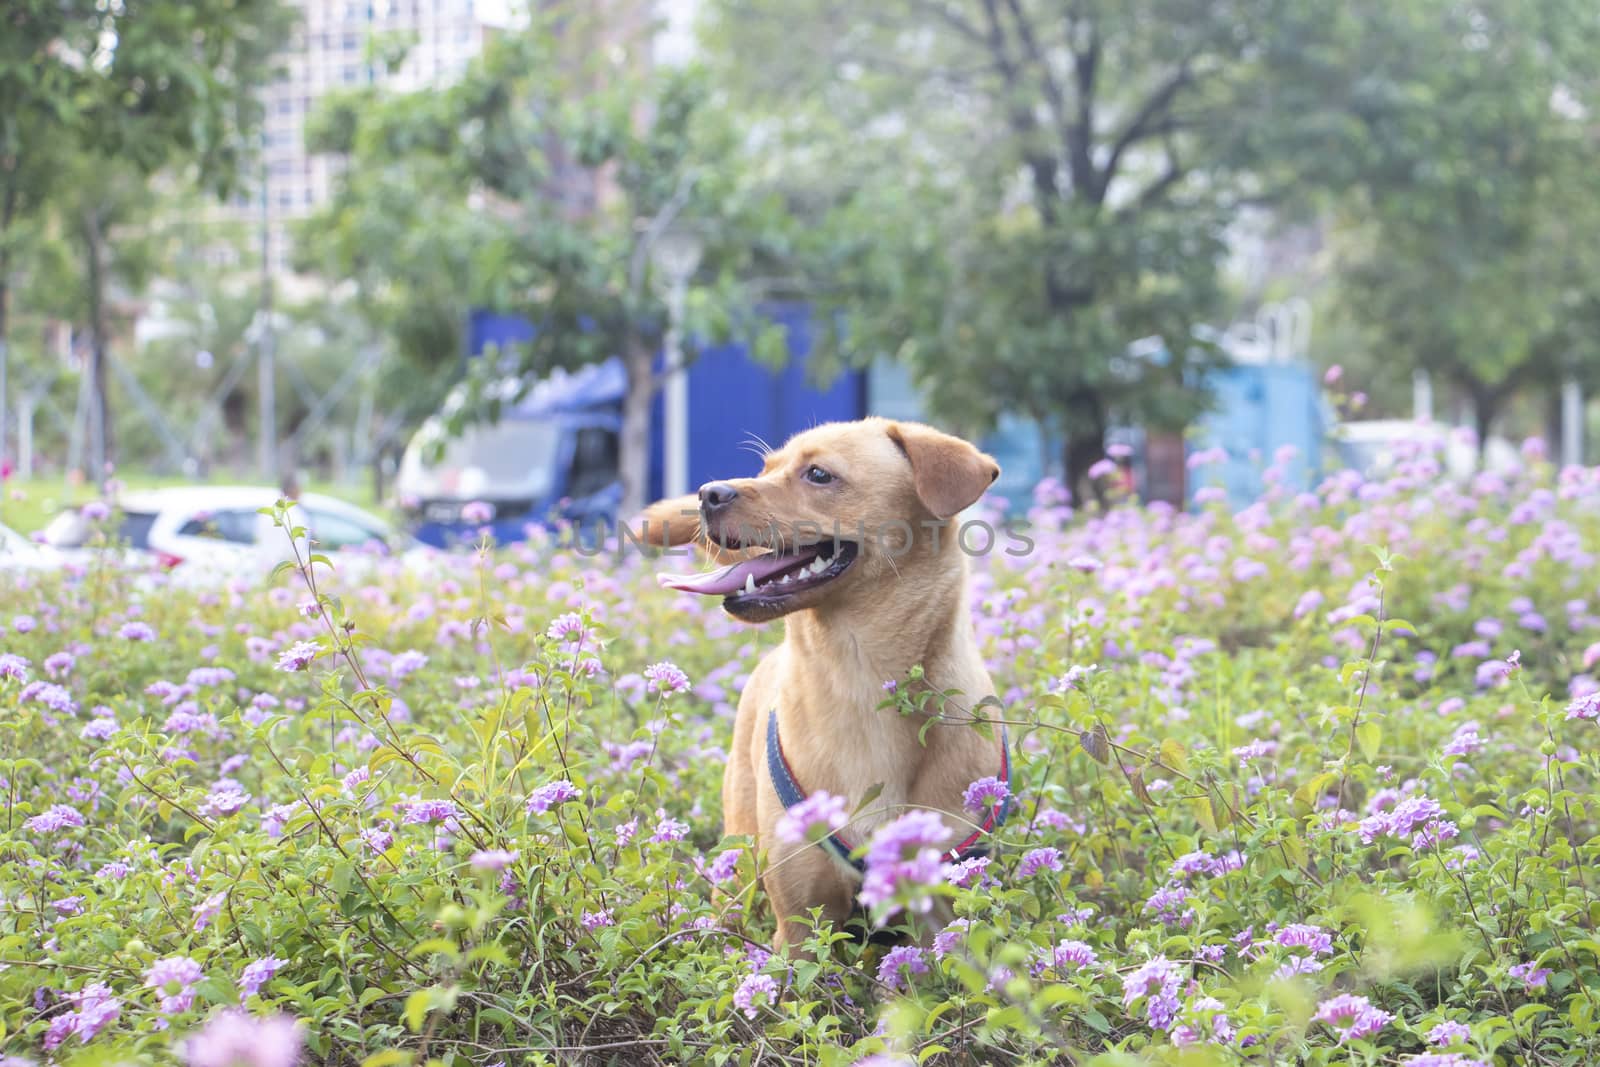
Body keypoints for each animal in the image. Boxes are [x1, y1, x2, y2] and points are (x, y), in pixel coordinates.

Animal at [630, 415, 1004, 953]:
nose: (707, 493)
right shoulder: (802, 923)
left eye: (819, 475)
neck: (856, 673)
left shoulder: (942, 911)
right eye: (765, 469)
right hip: (737, 860)